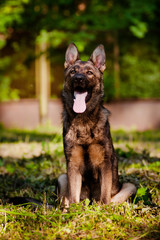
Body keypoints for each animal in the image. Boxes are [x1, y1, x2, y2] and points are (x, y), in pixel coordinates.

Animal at [57, 42, 136, 206]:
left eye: (89, 73)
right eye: (73, 72)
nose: (79, 79)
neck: (84, 122)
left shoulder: (104, 163)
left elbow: (105, 195)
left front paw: (103, 209)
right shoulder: (73, 164)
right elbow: (73, 196)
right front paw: (75, 211)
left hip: (129, 186)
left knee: (113, 201)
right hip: (62, 177)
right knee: (65, 201)